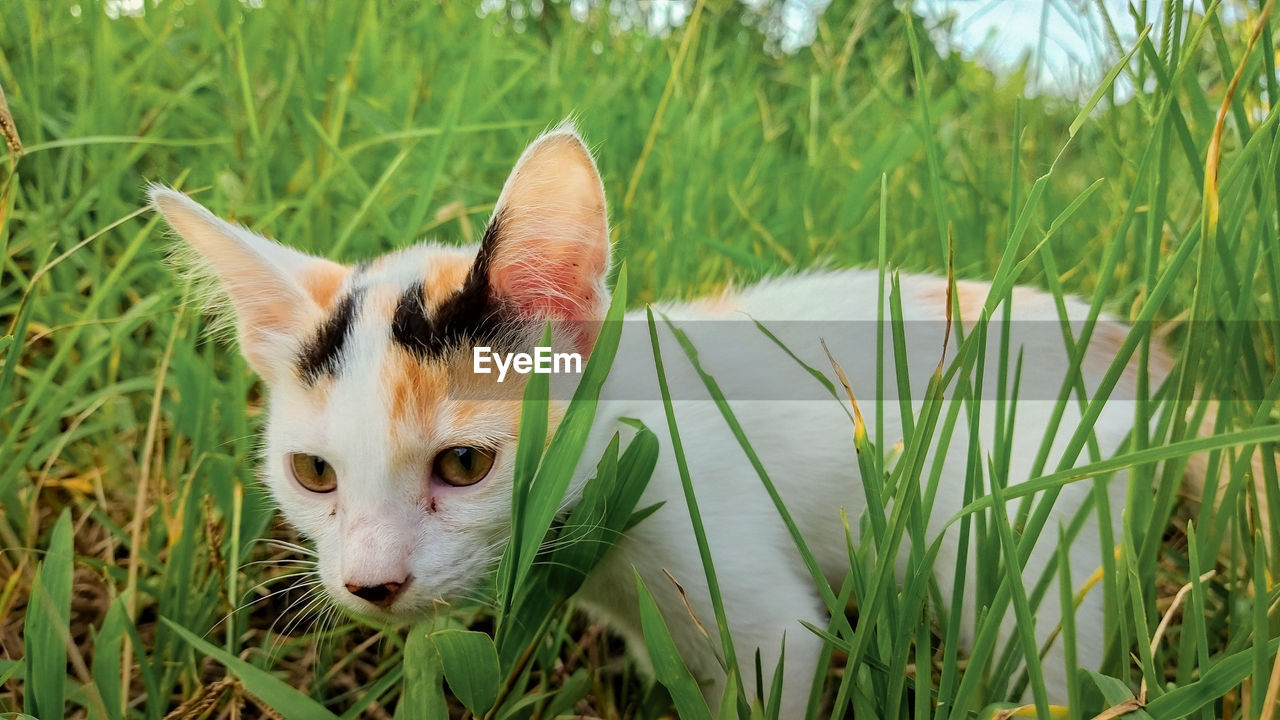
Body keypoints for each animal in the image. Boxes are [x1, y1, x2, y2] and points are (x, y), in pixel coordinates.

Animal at [149, 121, 1259, 712]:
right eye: (314, 476)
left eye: (463, 466)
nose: (369, 584)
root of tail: (1122, 340)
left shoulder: (766, 624)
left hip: (1037, 556)